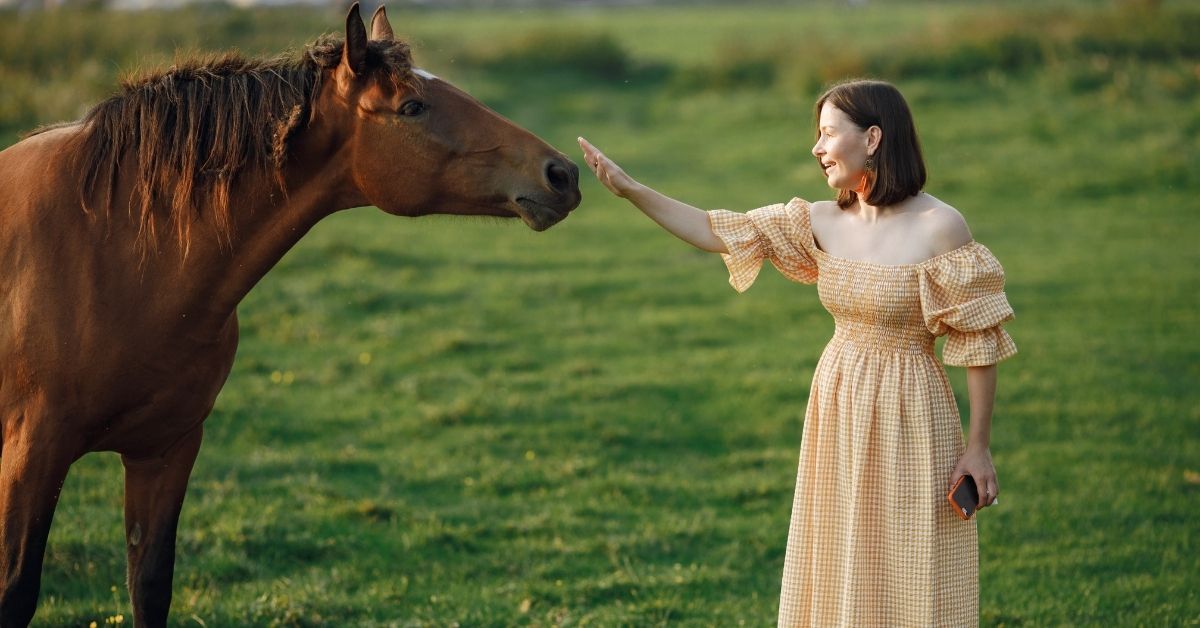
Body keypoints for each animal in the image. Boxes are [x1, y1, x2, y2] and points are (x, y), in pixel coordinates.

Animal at [0, 3, 580, 624]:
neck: (113, 251)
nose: (562, 174)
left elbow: (149, 586)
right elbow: (16, 590)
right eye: (412, 107)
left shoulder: (166, 449)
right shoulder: (34, 454)